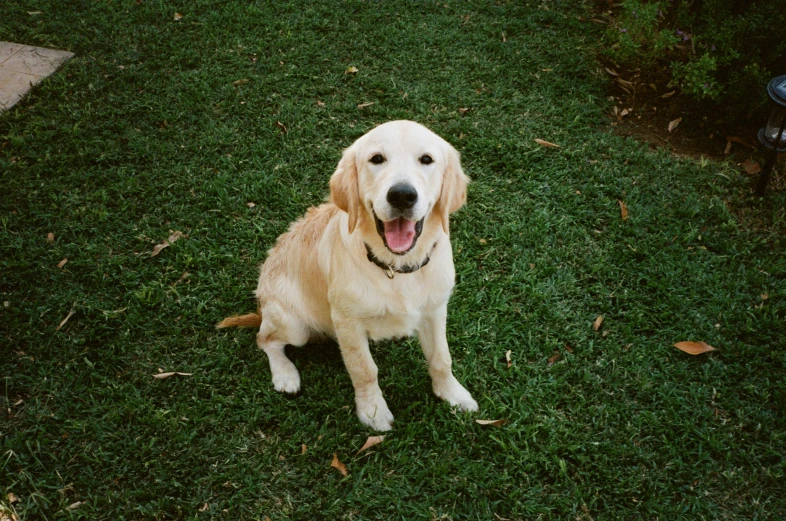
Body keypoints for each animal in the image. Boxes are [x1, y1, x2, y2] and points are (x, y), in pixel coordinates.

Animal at [219, 120, 478, 428]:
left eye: (426, 159)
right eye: (377, 159)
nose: (402, 195)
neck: (396, 267)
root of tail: (261, 304)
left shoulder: (435, 310)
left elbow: (441, 358)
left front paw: (453, 394)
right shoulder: (348, 322)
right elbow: (364, 369)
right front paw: (373, 411)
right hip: (294, 324)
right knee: (265, 339)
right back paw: (285, 374)